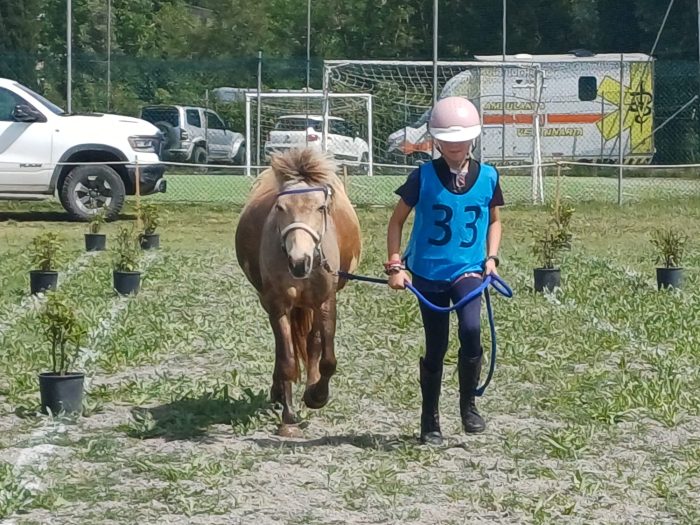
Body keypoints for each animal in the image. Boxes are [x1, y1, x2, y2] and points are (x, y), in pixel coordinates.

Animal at [235, 148, 362, 437]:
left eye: (321, 207)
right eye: (280, 207)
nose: (299, 262)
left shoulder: (326, 301)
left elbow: (327, 359)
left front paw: (316, 396)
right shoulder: (277, 305)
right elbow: (287, 360)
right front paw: (288, 416)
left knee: (313, 342)